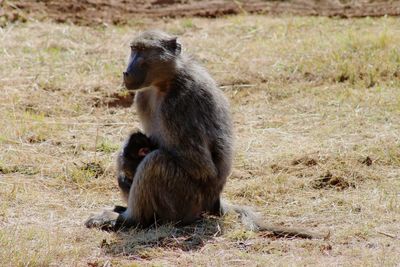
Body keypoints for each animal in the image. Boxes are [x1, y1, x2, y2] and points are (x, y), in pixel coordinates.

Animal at [86, 30, 324, 240]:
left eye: (142, 51)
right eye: (133, 49)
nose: (125, 72)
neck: (167, 81)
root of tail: (214, 202)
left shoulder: (177, 106)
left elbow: (200, 166)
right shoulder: (143, 96)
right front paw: (125, 167)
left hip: (188, 203)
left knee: (156, 162)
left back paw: (129, 219)